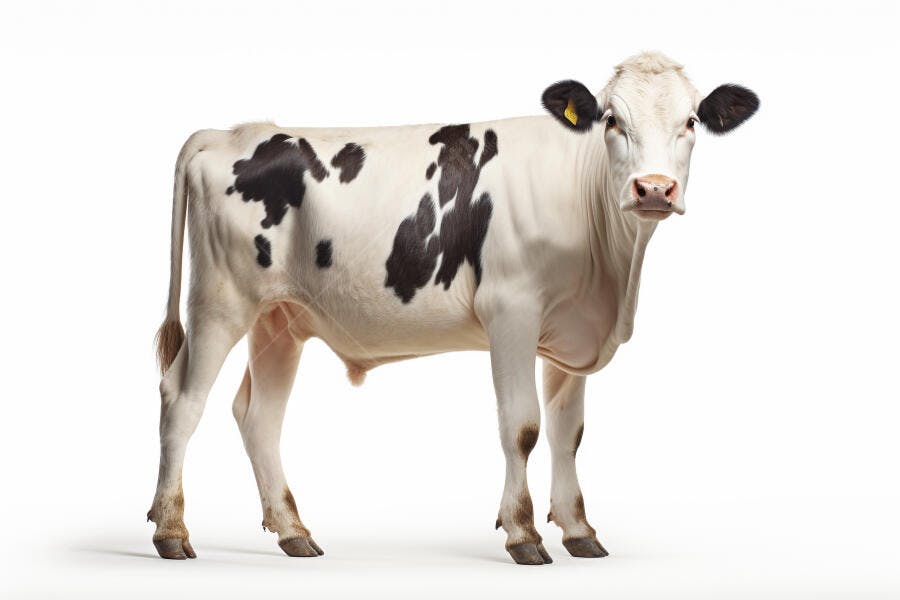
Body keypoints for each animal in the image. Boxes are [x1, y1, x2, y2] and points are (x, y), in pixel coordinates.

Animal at [148, 51, 759, 564]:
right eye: (611, 119)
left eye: (690, 121)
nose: (653, 189)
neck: (611, 273)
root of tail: (231, 133)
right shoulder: (511, 311)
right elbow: (523, 426)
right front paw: (524, 534)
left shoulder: (572, 328)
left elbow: (569, 432)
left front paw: (580, 530)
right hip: (219, 301)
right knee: (182, 399)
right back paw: (172, 532)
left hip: (278, 319)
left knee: (259, 416)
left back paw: (294, 531)